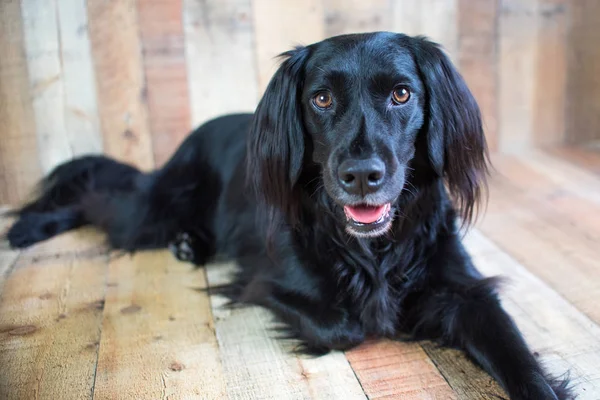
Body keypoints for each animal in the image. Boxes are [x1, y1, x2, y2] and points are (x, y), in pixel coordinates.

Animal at [3, 32, 572, 398]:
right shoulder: (268, 280)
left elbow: (517, 354)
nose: (361, 175)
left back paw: (189, 243)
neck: (374, 249)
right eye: (321, 99)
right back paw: (28, 227)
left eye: (401, 94)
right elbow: (343, 326)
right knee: (97, 197)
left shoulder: (466, 291)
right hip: (152, 210)